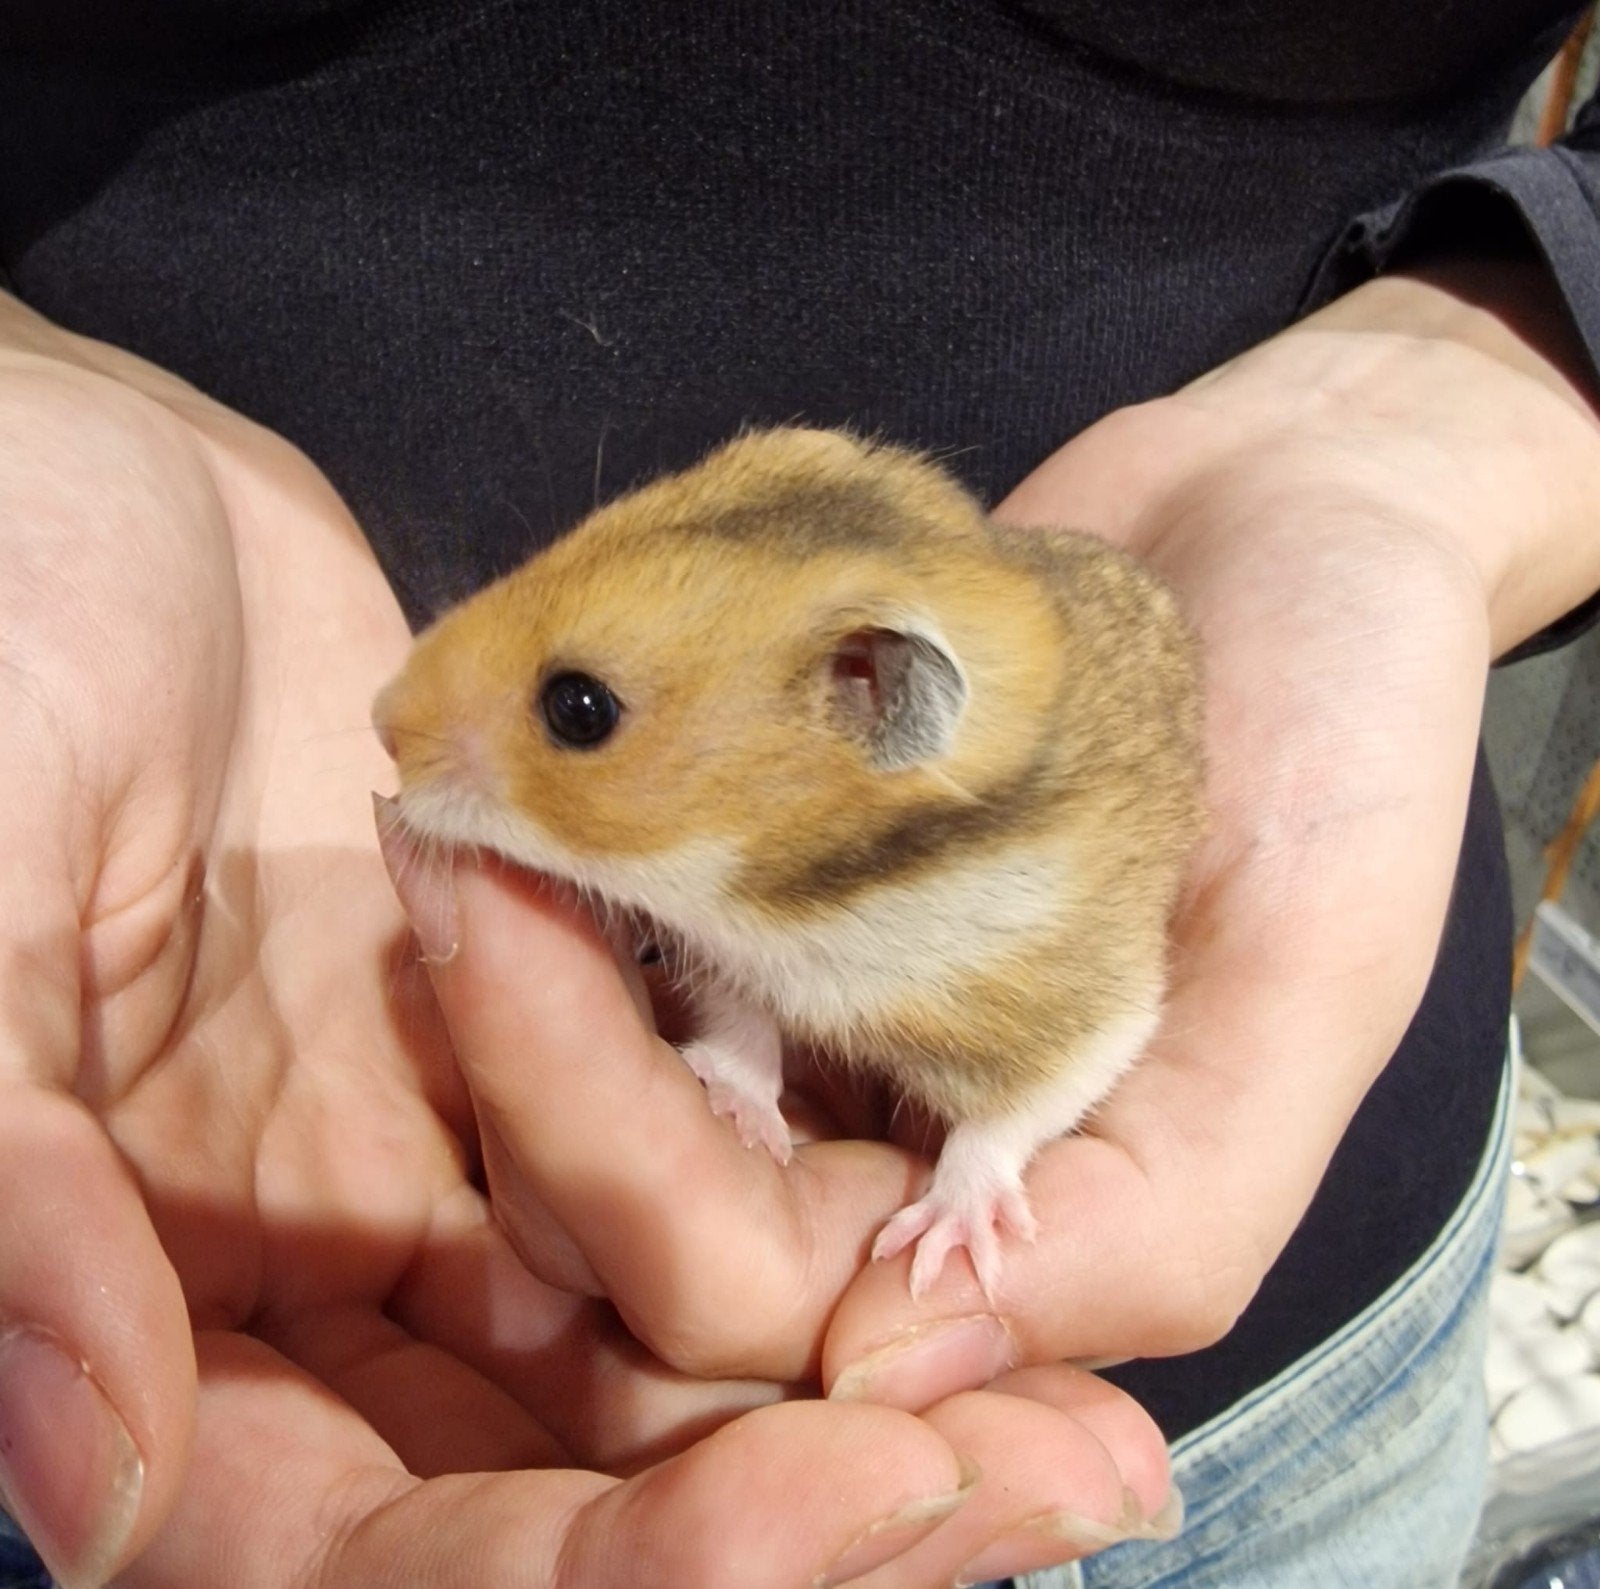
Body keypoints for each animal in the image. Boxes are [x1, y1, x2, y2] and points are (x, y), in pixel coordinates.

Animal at [373, 427, 1203, 1298]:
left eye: (579, 707)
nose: (378, 716)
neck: (792, 898)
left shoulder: (1083, 1003)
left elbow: (1013, 1114)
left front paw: (930, 1251)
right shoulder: (727, 957)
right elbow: (743, 1029)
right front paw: (739, 1114)